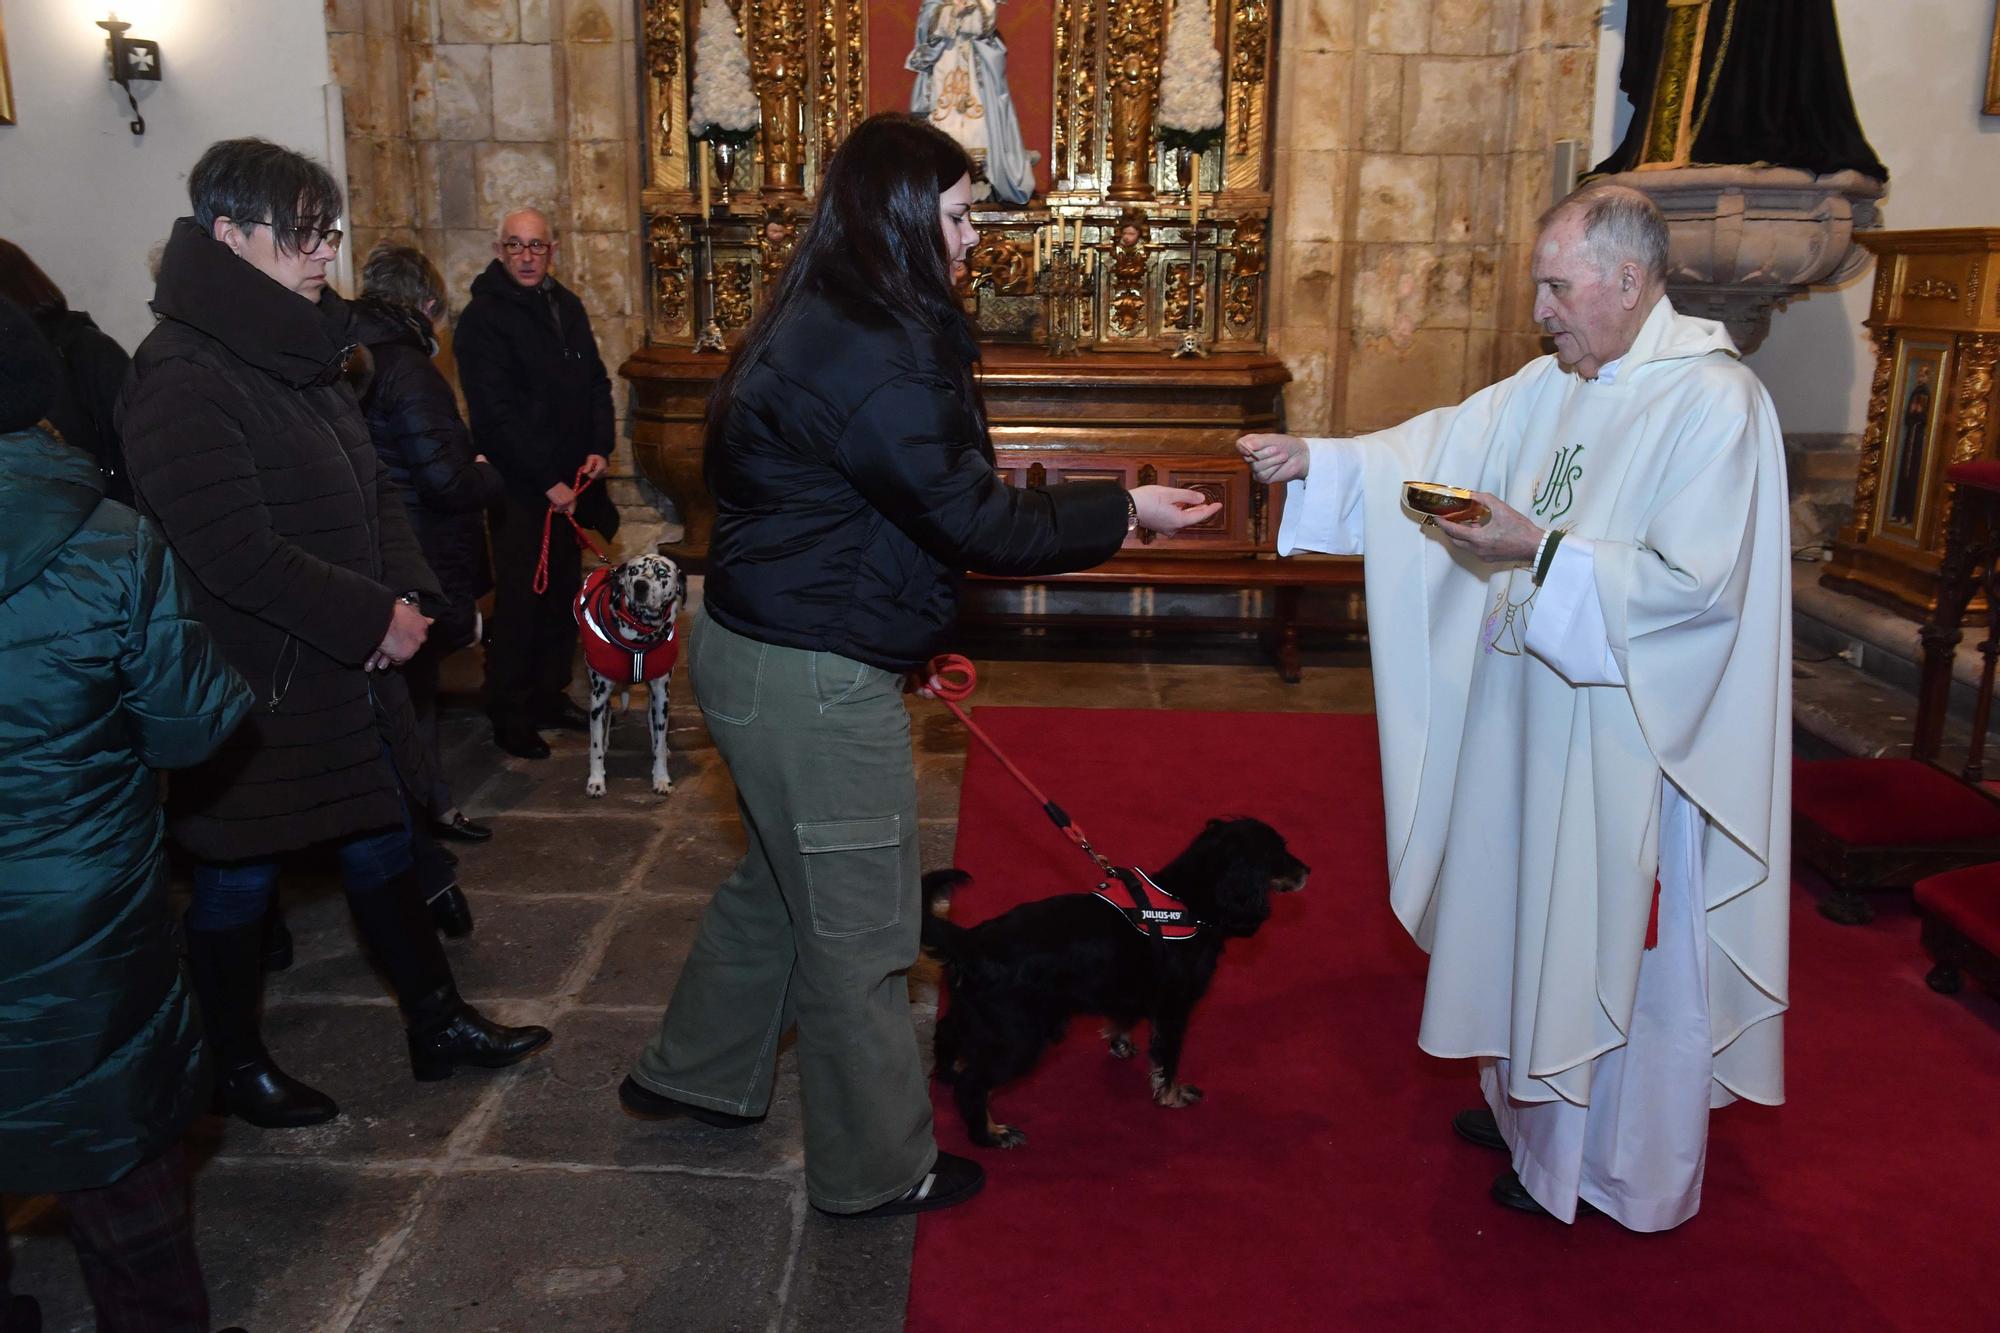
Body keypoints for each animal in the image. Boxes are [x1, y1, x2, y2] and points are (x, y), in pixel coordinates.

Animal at [572, 548, 688, 792]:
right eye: (633, 571)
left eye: (662, 573)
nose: (640, 586)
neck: (639, 635)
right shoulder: (598, 695)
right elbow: (595, 744)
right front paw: (596, 781)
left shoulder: (661, 693)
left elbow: (659, 743)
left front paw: (661, 778)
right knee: (606, 717)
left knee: (653, 724)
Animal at [916, 816, 1304, 1144]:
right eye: (1280, 852)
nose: (1308, 870)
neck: (1186, 902)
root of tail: (972, 941)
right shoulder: (1174, 1007)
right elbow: (1169, 1057)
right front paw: (1172, 1095)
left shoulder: (1133, 989)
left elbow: (1124, 1018)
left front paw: (1120, 1044)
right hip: (1019, 1037)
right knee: (973, 1085)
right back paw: (991, 1134)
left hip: (977, 1015)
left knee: (947, 1035)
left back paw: (950, 1072)